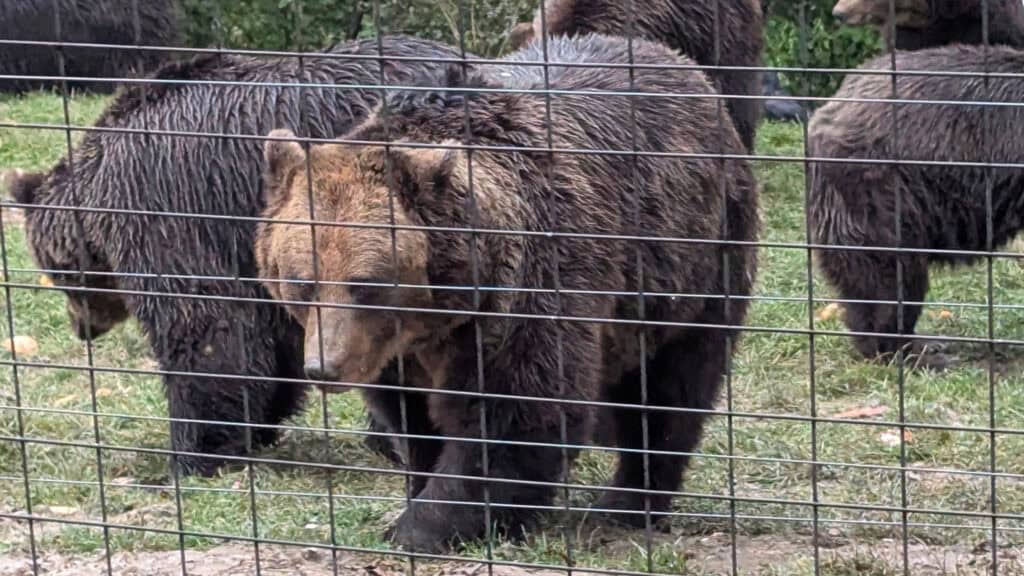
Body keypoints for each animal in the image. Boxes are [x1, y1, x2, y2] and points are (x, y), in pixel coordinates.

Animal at [8, 35, 469, 477]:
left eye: (59, 274)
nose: (82, 329)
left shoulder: (167, 209)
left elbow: (204, 327)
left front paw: (193, 452)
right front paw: (258, 423)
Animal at [255, 33, 759, 553]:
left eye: (367, 284)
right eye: (301, 281)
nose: (324, 367)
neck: (439, 312)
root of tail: (672, 60)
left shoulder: (529, 287)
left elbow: (517, 411)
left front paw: (423, 525)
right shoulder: (393, 350)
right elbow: (411, 417)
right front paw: (418, 487)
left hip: (694, 262)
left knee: (671, 388)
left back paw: (627, 502)